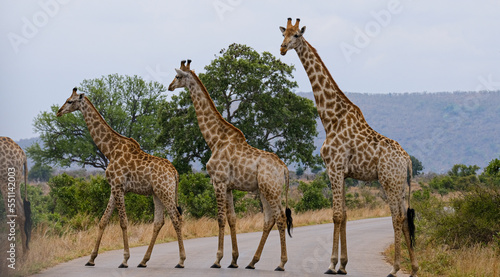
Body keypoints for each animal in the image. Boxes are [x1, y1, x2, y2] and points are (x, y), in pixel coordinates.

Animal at [56, 88, 186, 268]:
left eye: (70, 101)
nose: (58, 112)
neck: (110, 150)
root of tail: (174, 172)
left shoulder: (118, 186)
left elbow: (123, 222)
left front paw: (124, 260)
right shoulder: (114, 188)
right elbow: (103, 220)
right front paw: (91, 259)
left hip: (165, 192)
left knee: (176, 218)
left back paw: (180, 261)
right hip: (157, 193)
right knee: (159, 222)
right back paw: (143, 261)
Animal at [168, 59, 292, 270]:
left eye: (177, 76)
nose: (169, 86)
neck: (214, 140)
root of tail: (284, 168)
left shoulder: (218, 181)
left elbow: (220, 218)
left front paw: (217, 260)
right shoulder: (228, 186)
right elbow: (232, 218)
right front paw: (233, 260)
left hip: (272, 190)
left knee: (281, 218)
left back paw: (281, 263)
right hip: (264, 190)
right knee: (269, 220)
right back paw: (252, 262)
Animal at [282, 18, 418, 274]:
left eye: (296, 35)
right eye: (283, 33)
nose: (282, 48)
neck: (330, 118)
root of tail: (407, 161)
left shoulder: (334, 168)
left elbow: (336, 215)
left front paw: (331, 264)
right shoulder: (343, 173)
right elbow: (344, 215)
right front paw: (343, 265)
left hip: (390, 181)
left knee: (396, 217)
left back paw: (395, 268)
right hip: (401, 185)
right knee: (405, 217)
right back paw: (414, 268)